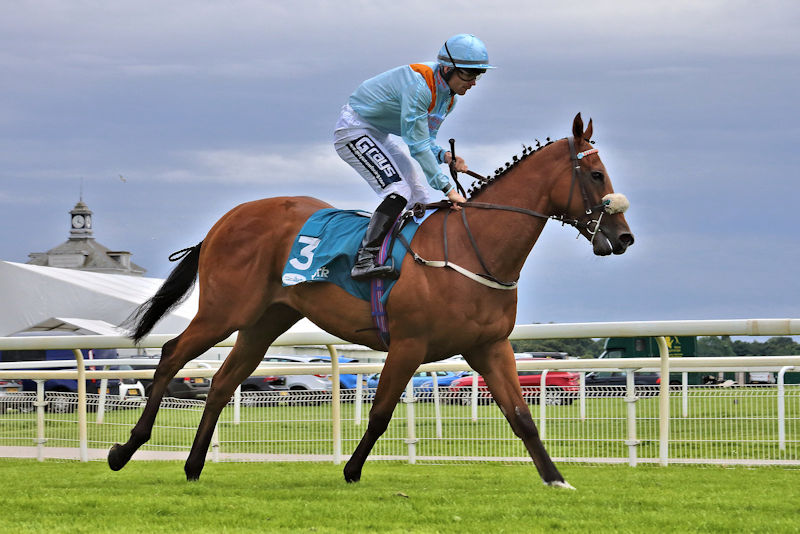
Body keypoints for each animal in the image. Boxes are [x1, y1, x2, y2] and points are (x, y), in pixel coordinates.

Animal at [108, 113, 633, 489]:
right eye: (595, 174)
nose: (623, 237)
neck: (472, 247)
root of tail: (225, 221)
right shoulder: (409, 343)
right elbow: (380, 411)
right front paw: (351, 470)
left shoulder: (490, 346)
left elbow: (522, 417)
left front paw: (557, 479)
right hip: (224, 310)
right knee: (171, 354)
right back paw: (125, 449)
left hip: (264, 321)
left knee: (220, 382)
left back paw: (194, 466)